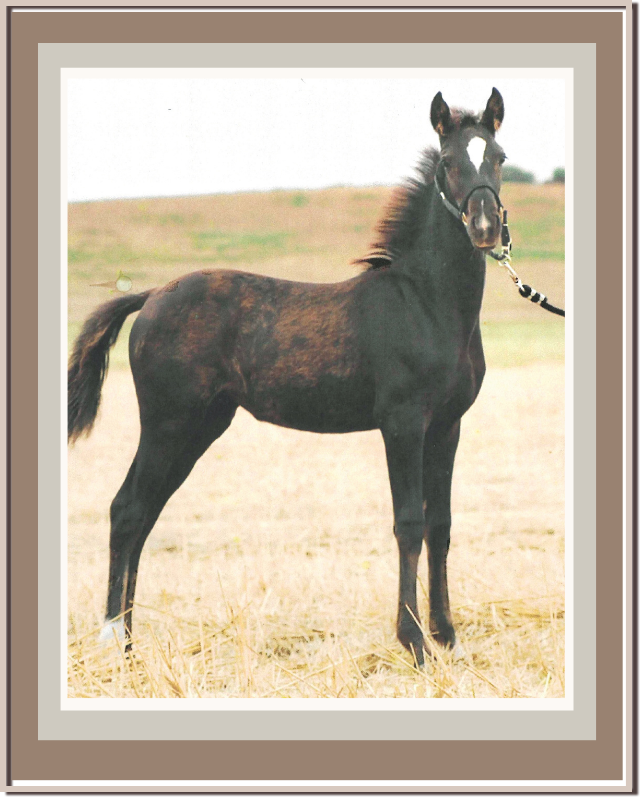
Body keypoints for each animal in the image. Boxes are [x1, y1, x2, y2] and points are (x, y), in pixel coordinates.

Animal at [68, 88, 507, 668]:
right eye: (449, 162)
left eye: (498, 158)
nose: (485, 229)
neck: (426, 304)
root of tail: (152, 295)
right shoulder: (403, 424)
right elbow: (409, 523)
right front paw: (413, 643)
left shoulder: (447, 426)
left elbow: (441, 526)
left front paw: (448, 637)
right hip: (168, 423)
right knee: (127, 510)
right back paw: (114, 640)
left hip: (200, 426)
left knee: (143, 513)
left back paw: (130, 640)